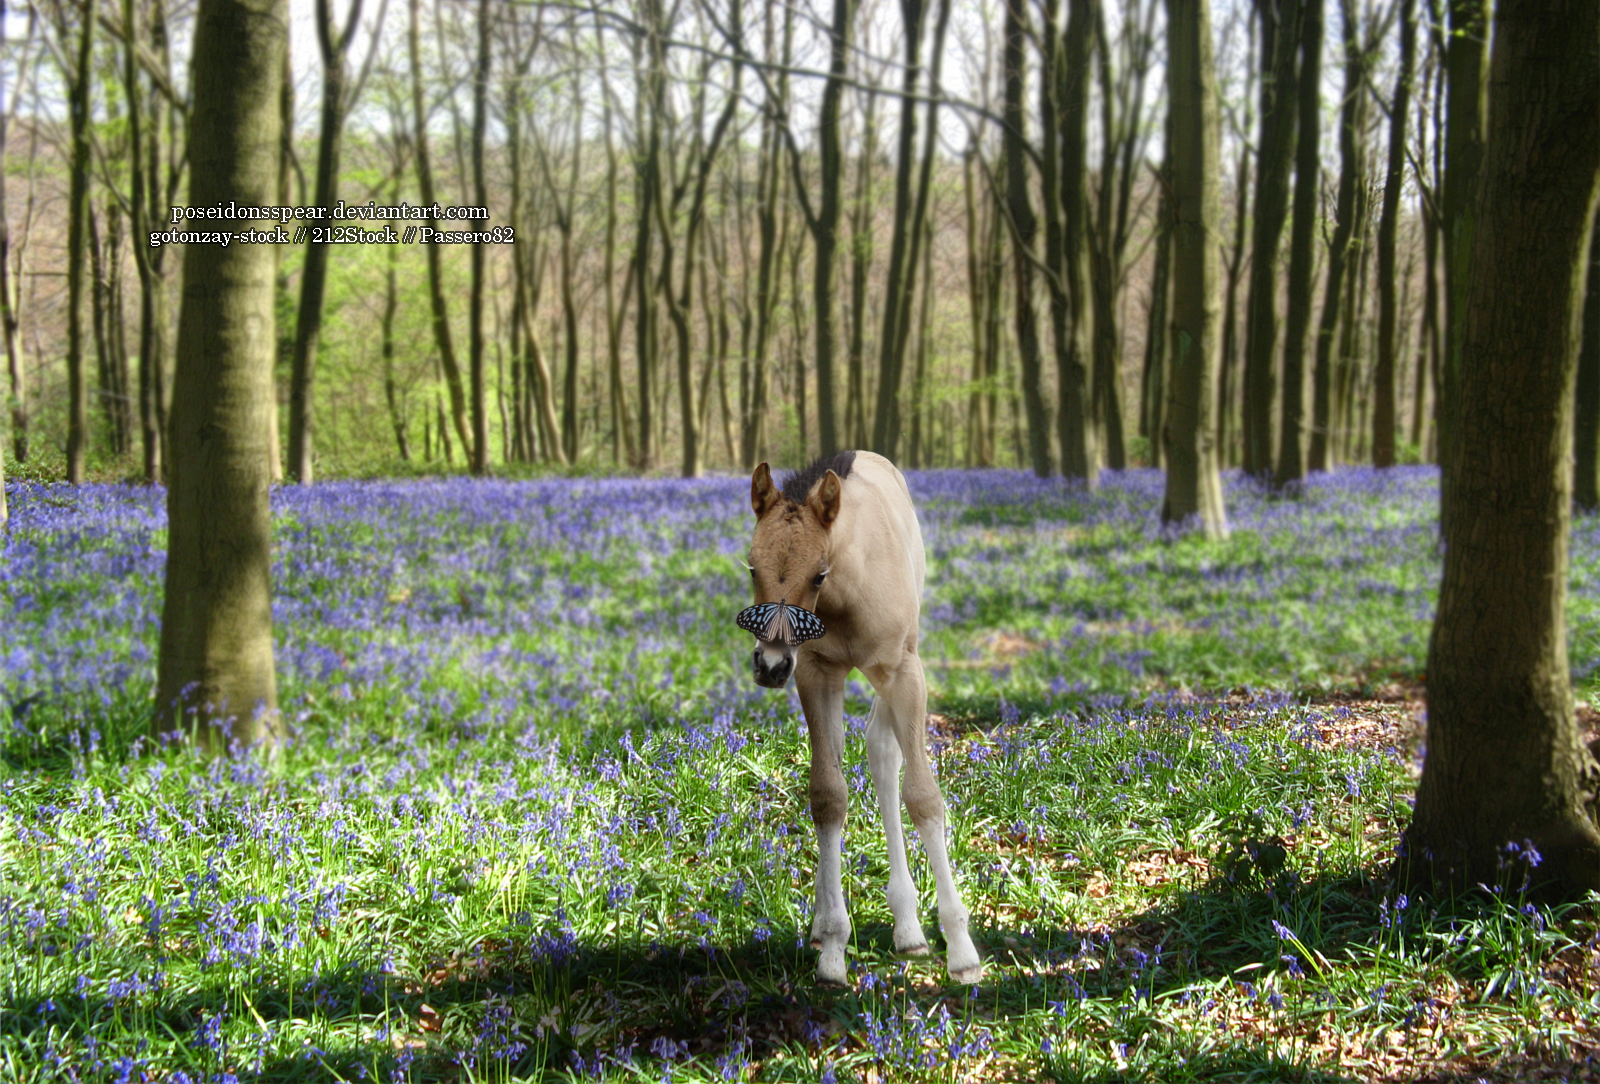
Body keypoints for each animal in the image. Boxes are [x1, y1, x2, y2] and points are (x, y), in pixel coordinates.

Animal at [739, 450, 979, 984]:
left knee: (884, 751)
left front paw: (961, 949)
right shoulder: (816, 673)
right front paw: (832, 947)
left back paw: (910, 929)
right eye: (751, 567)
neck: (843, 596)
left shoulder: (904, 672)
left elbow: (923, 798)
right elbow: (828, 795)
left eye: (818, 573)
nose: (770, 666)